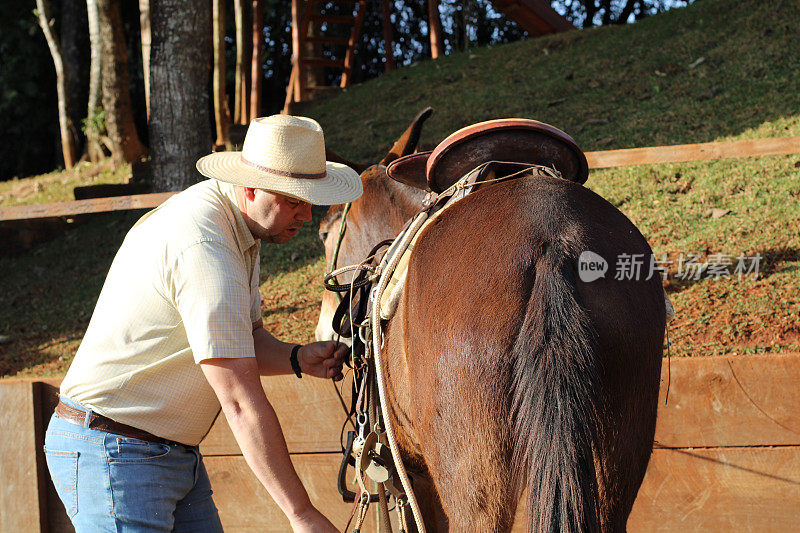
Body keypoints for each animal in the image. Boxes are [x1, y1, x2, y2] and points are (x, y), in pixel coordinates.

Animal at [316, 111, 664, 528]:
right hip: (614, 464)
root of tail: (552, 242)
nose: (324, 331)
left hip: (474, 484)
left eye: (324, 233)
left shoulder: (412, 472)